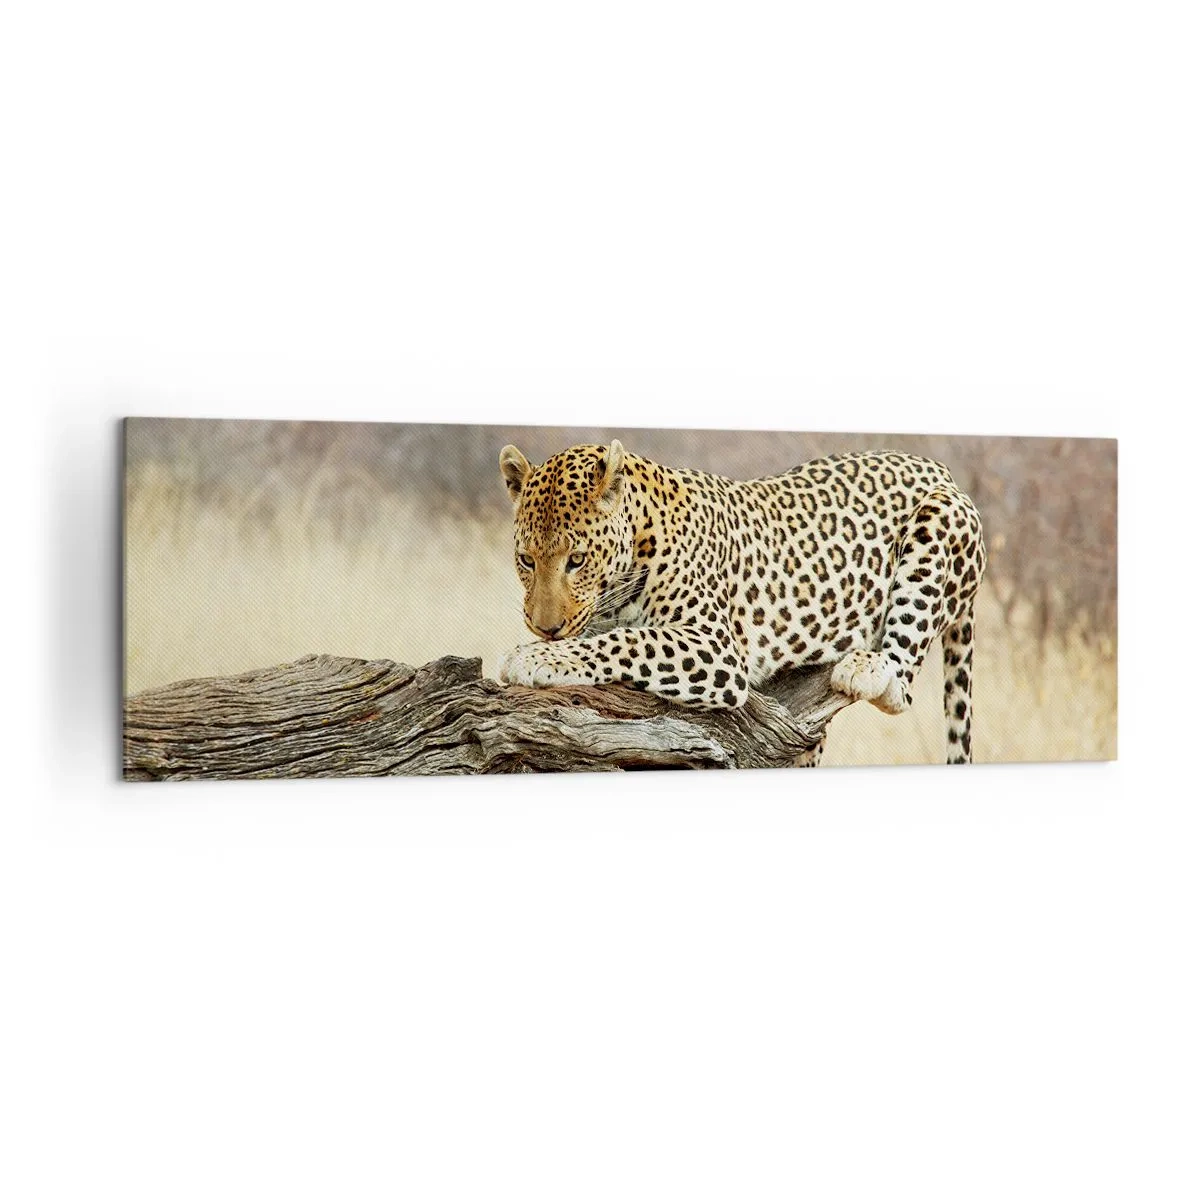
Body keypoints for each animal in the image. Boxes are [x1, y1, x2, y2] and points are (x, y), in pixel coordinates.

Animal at [497, 439, 987, 765]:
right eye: (526, 560)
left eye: (577, 560)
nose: (545, 628)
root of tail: (940, 469)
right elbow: (611, 636)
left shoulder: (716, 646)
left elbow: (628, 641)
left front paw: (536, 657)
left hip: (938, 522)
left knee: (901, 683)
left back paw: (866, 668)